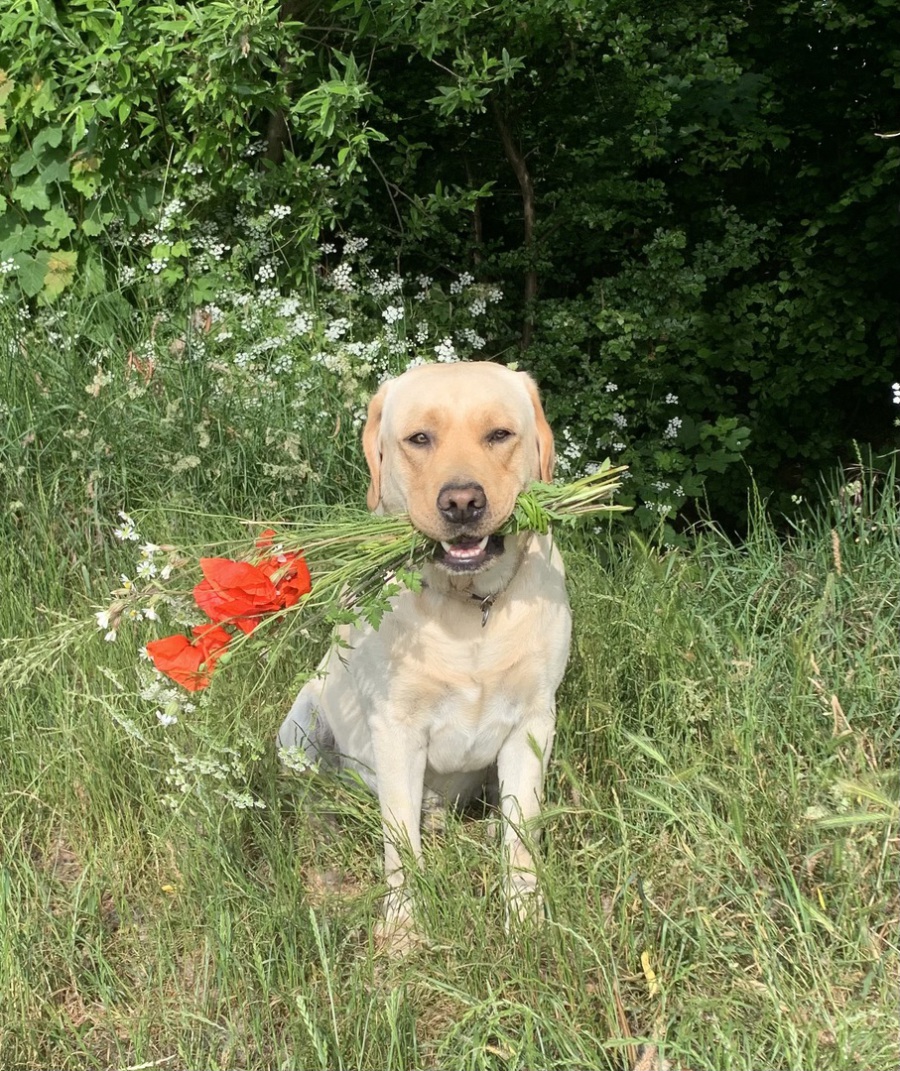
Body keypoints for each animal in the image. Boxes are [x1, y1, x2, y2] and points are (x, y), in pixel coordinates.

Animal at [278, 361, 572, 946]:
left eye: (499, 434)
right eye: (419, 439)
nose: (462, 503)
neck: (472, 607)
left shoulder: (533, 721)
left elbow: (521, 838)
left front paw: (526, 923)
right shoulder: (397, 730)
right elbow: (399, 846)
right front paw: (403, 930)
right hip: (297, 728)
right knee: (318, 799)